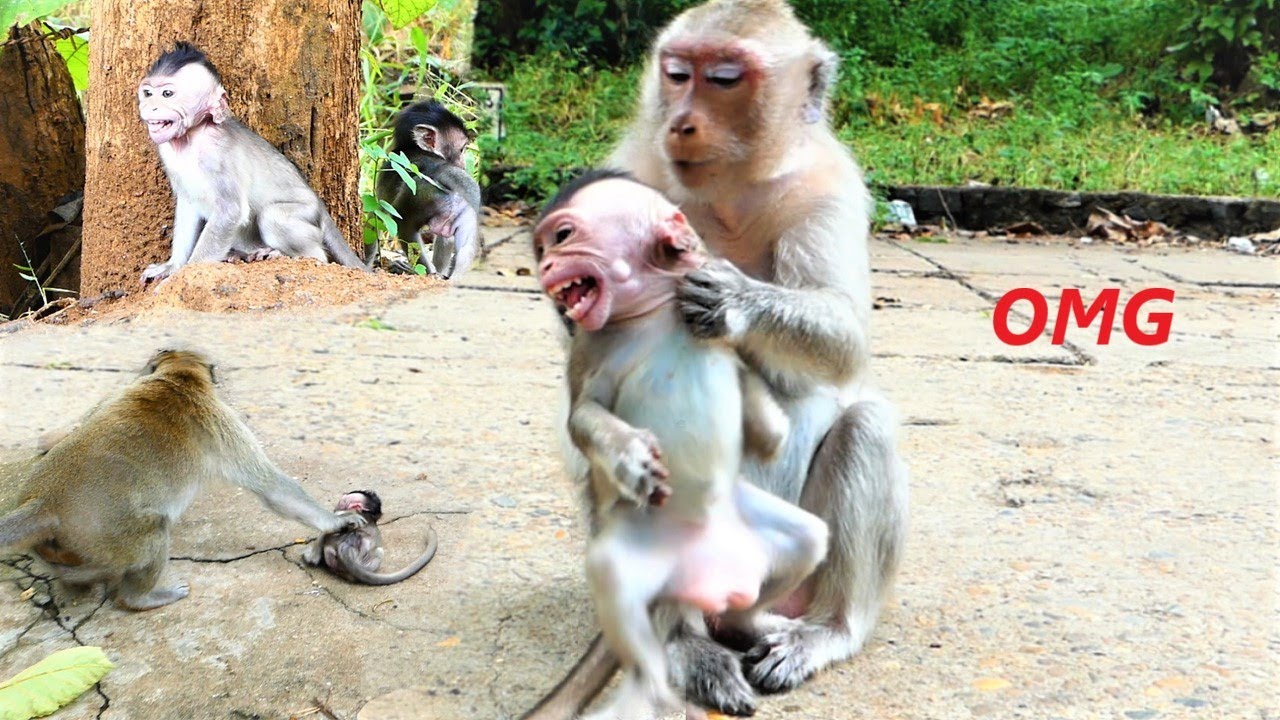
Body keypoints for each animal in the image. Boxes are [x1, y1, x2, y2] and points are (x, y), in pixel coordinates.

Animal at [0, 349, 364, 611]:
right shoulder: (219, 418)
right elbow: (272, 488)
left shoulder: (121, 392)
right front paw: (337, 521)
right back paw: (140, 599)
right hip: (113, 543)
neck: (177, 378)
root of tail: (45, 503)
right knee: (154, 531)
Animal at [136, 42, 366, 285]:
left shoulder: (217, 155)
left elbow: (230, 212)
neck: (192, 136)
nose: (150, 106)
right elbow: (189, 206)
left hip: (307, 214)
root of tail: (321, 208)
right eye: (148, 93)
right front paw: (171, 266)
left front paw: (183, 276)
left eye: (167, 94)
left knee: (275, 219)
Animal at [530, 170, 829, 720]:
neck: (655, 313)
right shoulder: (590, 348)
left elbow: (770, 439)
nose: (544, 265)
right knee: (612, 571)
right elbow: (582, 418)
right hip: (640, 549)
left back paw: (746, 622)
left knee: (808, 538)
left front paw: (727, 311)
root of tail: (693, 585)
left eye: (560, 237)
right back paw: (649, 689)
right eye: (542, 249)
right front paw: (628, 456)